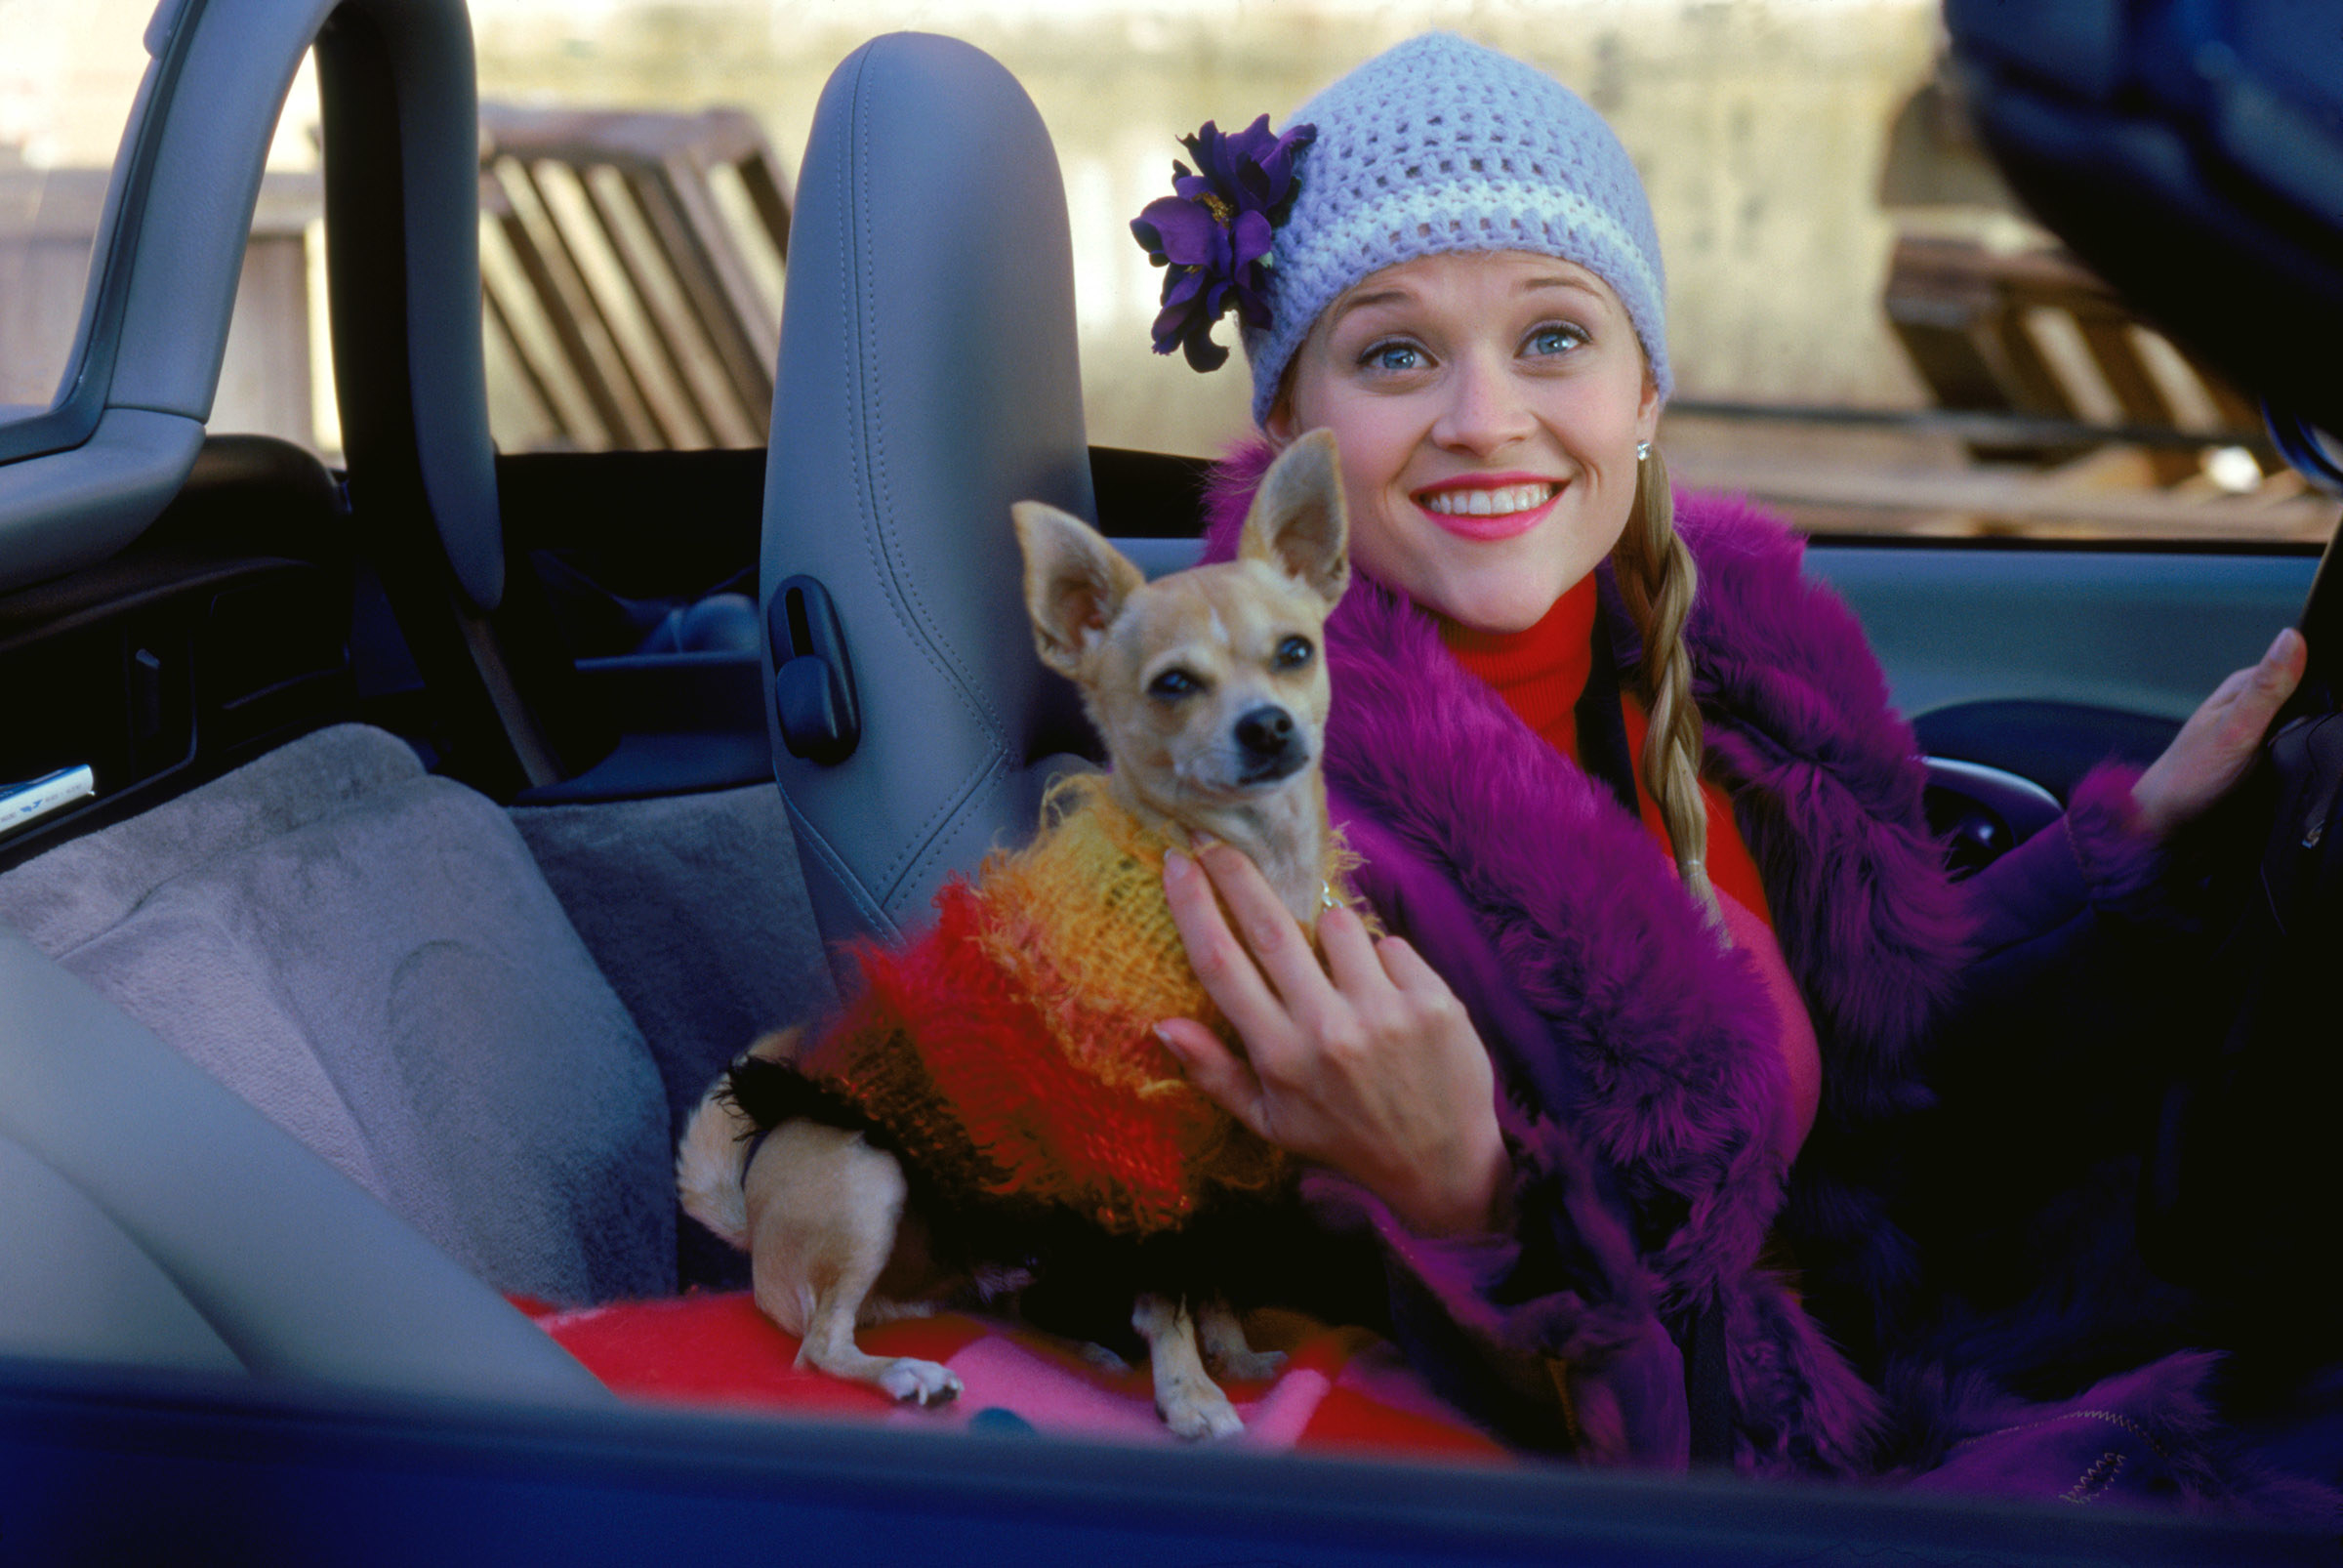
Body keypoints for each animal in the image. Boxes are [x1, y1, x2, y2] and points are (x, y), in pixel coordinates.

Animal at [679, 433, 1359, 1434]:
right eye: (1173, 686)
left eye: (1295, 653)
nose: (1268, 726)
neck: (1234, 861)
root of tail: (757, 1226)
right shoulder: (1132, 1160)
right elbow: (1165, 1290)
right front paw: (1190, 1392)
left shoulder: (1223, 1158)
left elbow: (1210, 1273)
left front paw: (1232, 1354)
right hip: (868, 1179)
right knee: (818, 1345)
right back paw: (904, 1374)